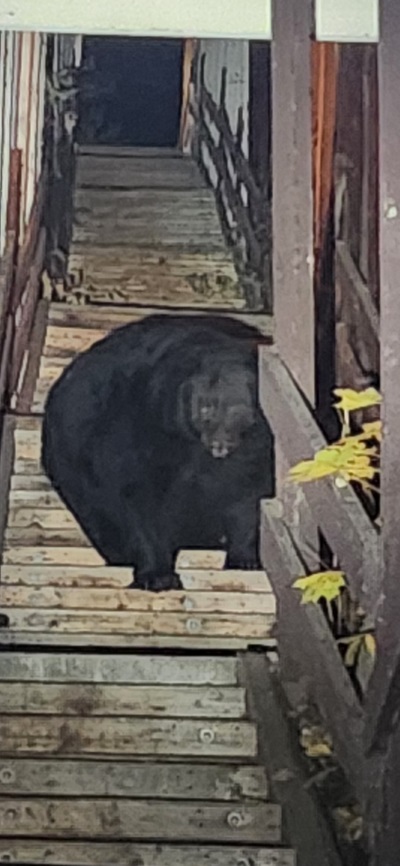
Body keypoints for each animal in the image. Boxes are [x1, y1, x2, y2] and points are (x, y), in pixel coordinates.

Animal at [42, 314, 275, 591]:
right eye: (205, 408)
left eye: (237, 409)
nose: (218, 445)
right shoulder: (142, 430)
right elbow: (139, 499)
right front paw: (157, 575)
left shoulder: (256, 446)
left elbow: (248, 496)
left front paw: (244, 559)